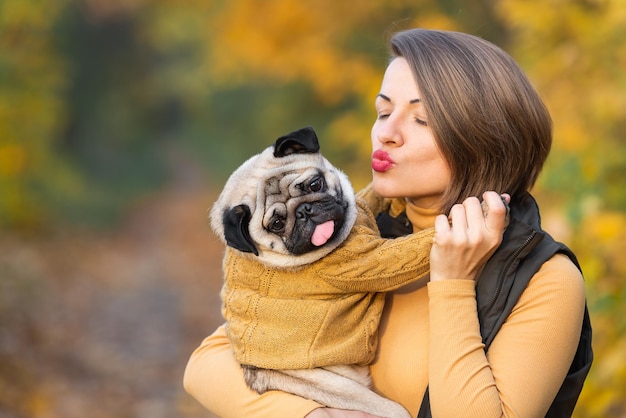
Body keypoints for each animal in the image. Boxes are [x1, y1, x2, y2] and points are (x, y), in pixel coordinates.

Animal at [208, 125, 434, 416]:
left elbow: (372, 198)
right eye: (277, 224)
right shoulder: (354, 264)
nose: (304, 210)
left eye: (314, 185)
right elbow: (402, 254)